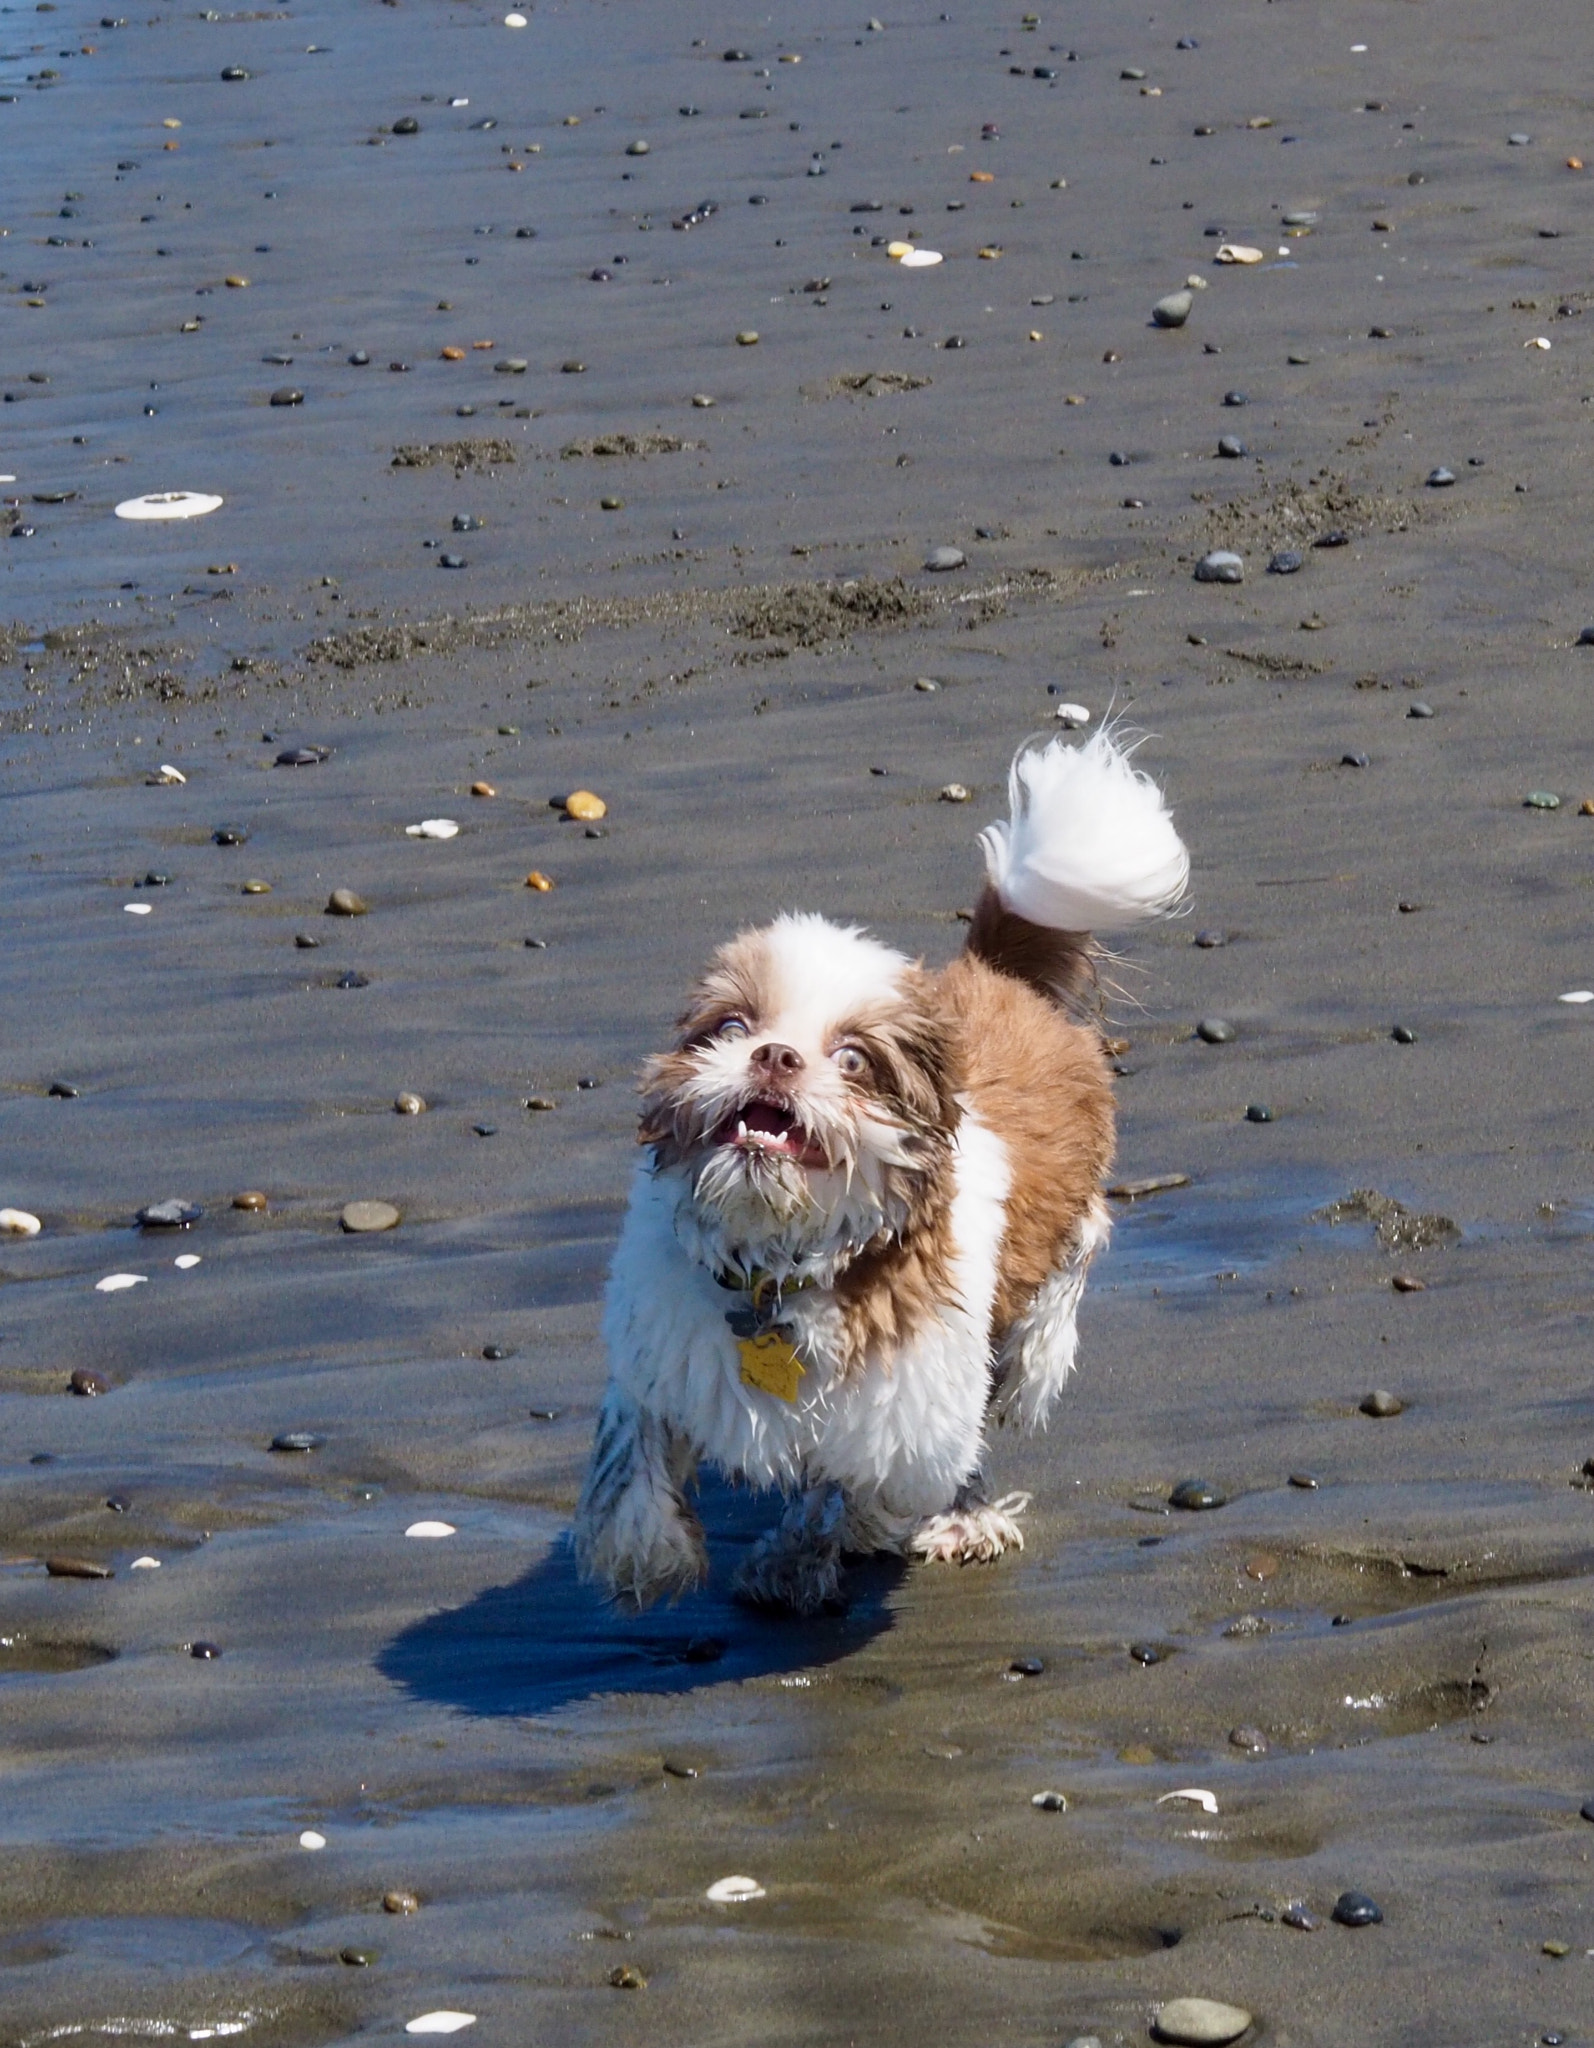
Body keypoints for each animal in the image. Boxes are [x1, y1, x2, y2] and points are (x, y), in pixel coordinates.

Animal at [569, 733, 1180, 1613]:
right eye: (733, 1027)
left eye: (853, 1060)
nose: (775, 1056)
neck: (781, 1266)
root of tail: (996, 971)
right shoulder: (666, 1346)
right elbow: (632, 1451)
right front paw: (646, 1549)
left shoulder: (900, 1410)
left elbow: (853, 1482)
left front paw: (825, 1542)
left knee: (1079, 1248)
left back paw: (1021, 1392)